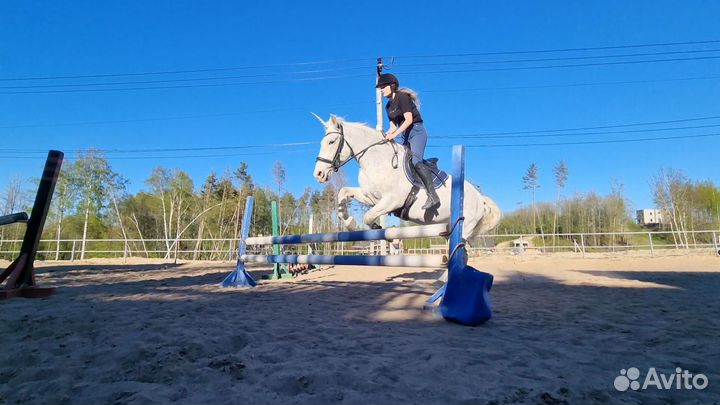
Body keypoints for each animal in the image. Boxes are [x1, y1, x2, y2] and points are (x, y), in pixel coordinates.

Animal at [312, 114, 501, 241]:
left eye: (331, 142)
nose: (318, 174)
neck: (376, 160)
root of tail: (479, 197)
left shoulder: (392, 201)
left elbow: (368, 217)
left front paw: (382, 231)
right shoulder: (371, 198)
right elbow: (343, 192)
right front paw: (349, 221)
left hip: (465, 228)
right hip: (448, 229)